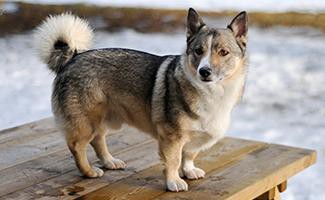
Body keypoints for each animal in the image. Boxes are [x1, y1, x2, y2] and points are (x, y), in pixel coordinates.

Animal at [34, 8, 247, 192]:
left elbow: (189, 155)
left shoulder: (191, 140)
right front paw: (173, 182)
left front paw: (189, 171)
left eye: (223, 52)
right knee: (77, 146)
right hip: (87, 122)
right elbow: (174, 160)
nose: (204, 71)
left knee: (98, 140)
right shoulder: (172, 137)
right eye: (198, 51)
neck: (212, 92)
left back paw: (109, 161)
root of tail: (72, 58)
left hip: (102, 119)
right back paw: (89, 172)